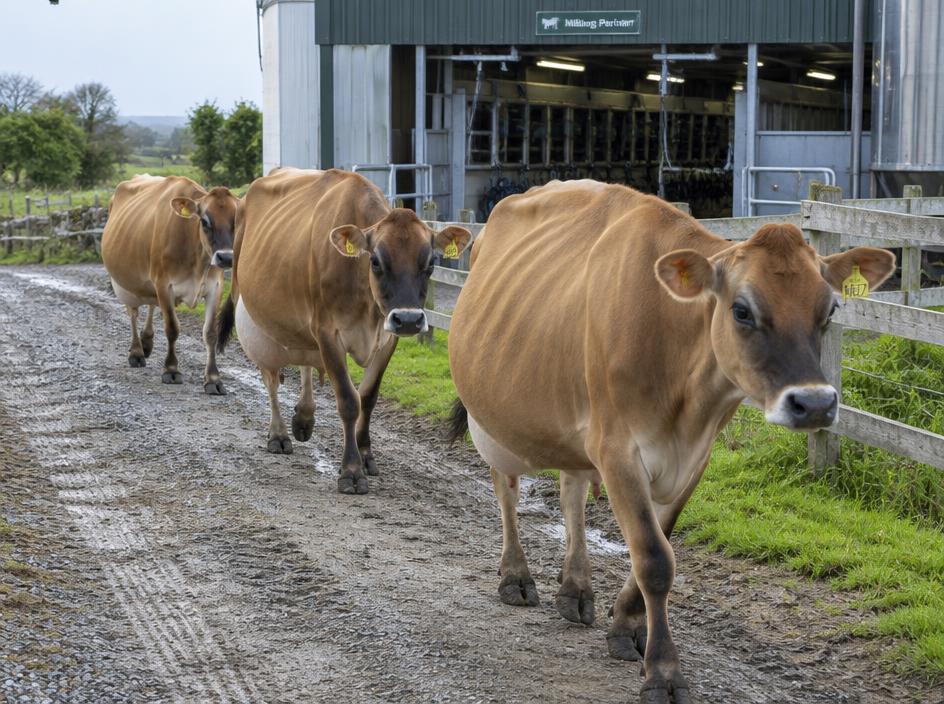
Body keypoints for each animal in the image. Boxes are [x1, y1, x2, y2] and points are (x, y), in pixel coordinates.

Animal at [101, 175, 238, 394]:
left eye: (237, 219)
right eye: (204, 220)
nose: (226, 257)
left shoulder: (215, 287)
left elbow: (210, 333)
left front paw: (213, 379)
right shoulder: (164, 284)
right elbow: (172, 328)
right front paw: (171, 370)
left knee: (150, 303)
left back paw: (147, 341)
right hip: (126, 285)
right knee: (133, 313)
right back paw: (137, 351)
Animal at [217, 168, 470, 494]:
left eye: (430, 263)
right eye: (375, 260)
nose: (409, 319)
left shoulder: (387, 337)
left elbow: (368, 398)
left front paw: (366, 455)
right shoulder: (327, 331)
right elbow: (349, 400)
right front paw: (351, 470)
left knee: (304, 362)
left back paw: (304, 417)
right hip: (259, 320)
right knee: (271, 379)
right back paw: (279, 434)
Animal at [447, 180, 895, 704]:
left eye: (830, 309)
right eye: (742, 310)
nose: (816, 403)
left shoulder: (693, 457)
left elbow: (661, 541)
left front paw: (627, 626)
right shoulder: (618, 449)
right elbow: (655, 558)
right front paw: (663, 672)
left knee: (571, 492)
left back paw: (575, 589)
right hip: (493, 415)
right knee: (507, 489)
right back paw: (516, 576)